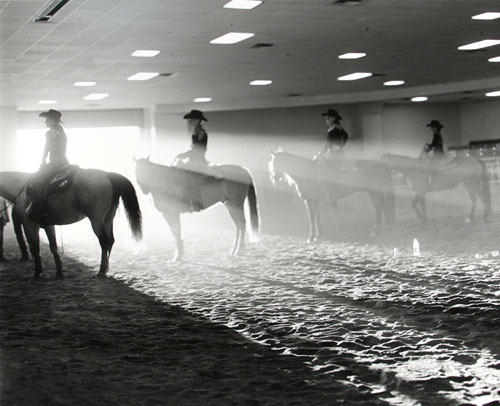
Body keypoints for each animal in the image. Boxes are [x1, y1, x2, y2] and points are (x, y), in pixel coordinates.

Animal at [0, 169, 143, 280]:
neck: (20, 189)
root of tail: (107, 175)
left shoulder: (29, 224)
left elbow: (35, 248)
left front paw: (37, 272)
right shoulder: (48, 225)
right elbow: (53, 247)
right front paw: (59, 271)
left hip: (96, 221)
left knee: (104, 241)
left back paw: (101, 271)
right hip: (108, 219)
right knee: (110, 240)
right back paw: (106, 268)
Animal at [268, 151, 396, 243]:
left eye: (279, 162)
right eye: (273, 163)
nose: (275, 178)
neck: (307, 172)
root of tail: (382, 164)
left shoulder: (310, 200)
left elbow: (312, 219)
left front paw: (312, 238)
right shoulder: (314, 201)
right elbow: (316, 218)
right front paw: (317, 236)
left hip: (376, 193)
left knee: (383, 208)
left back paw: (381, 230)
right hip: (374, 193)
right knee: (381, 209)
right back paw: (379, 231)